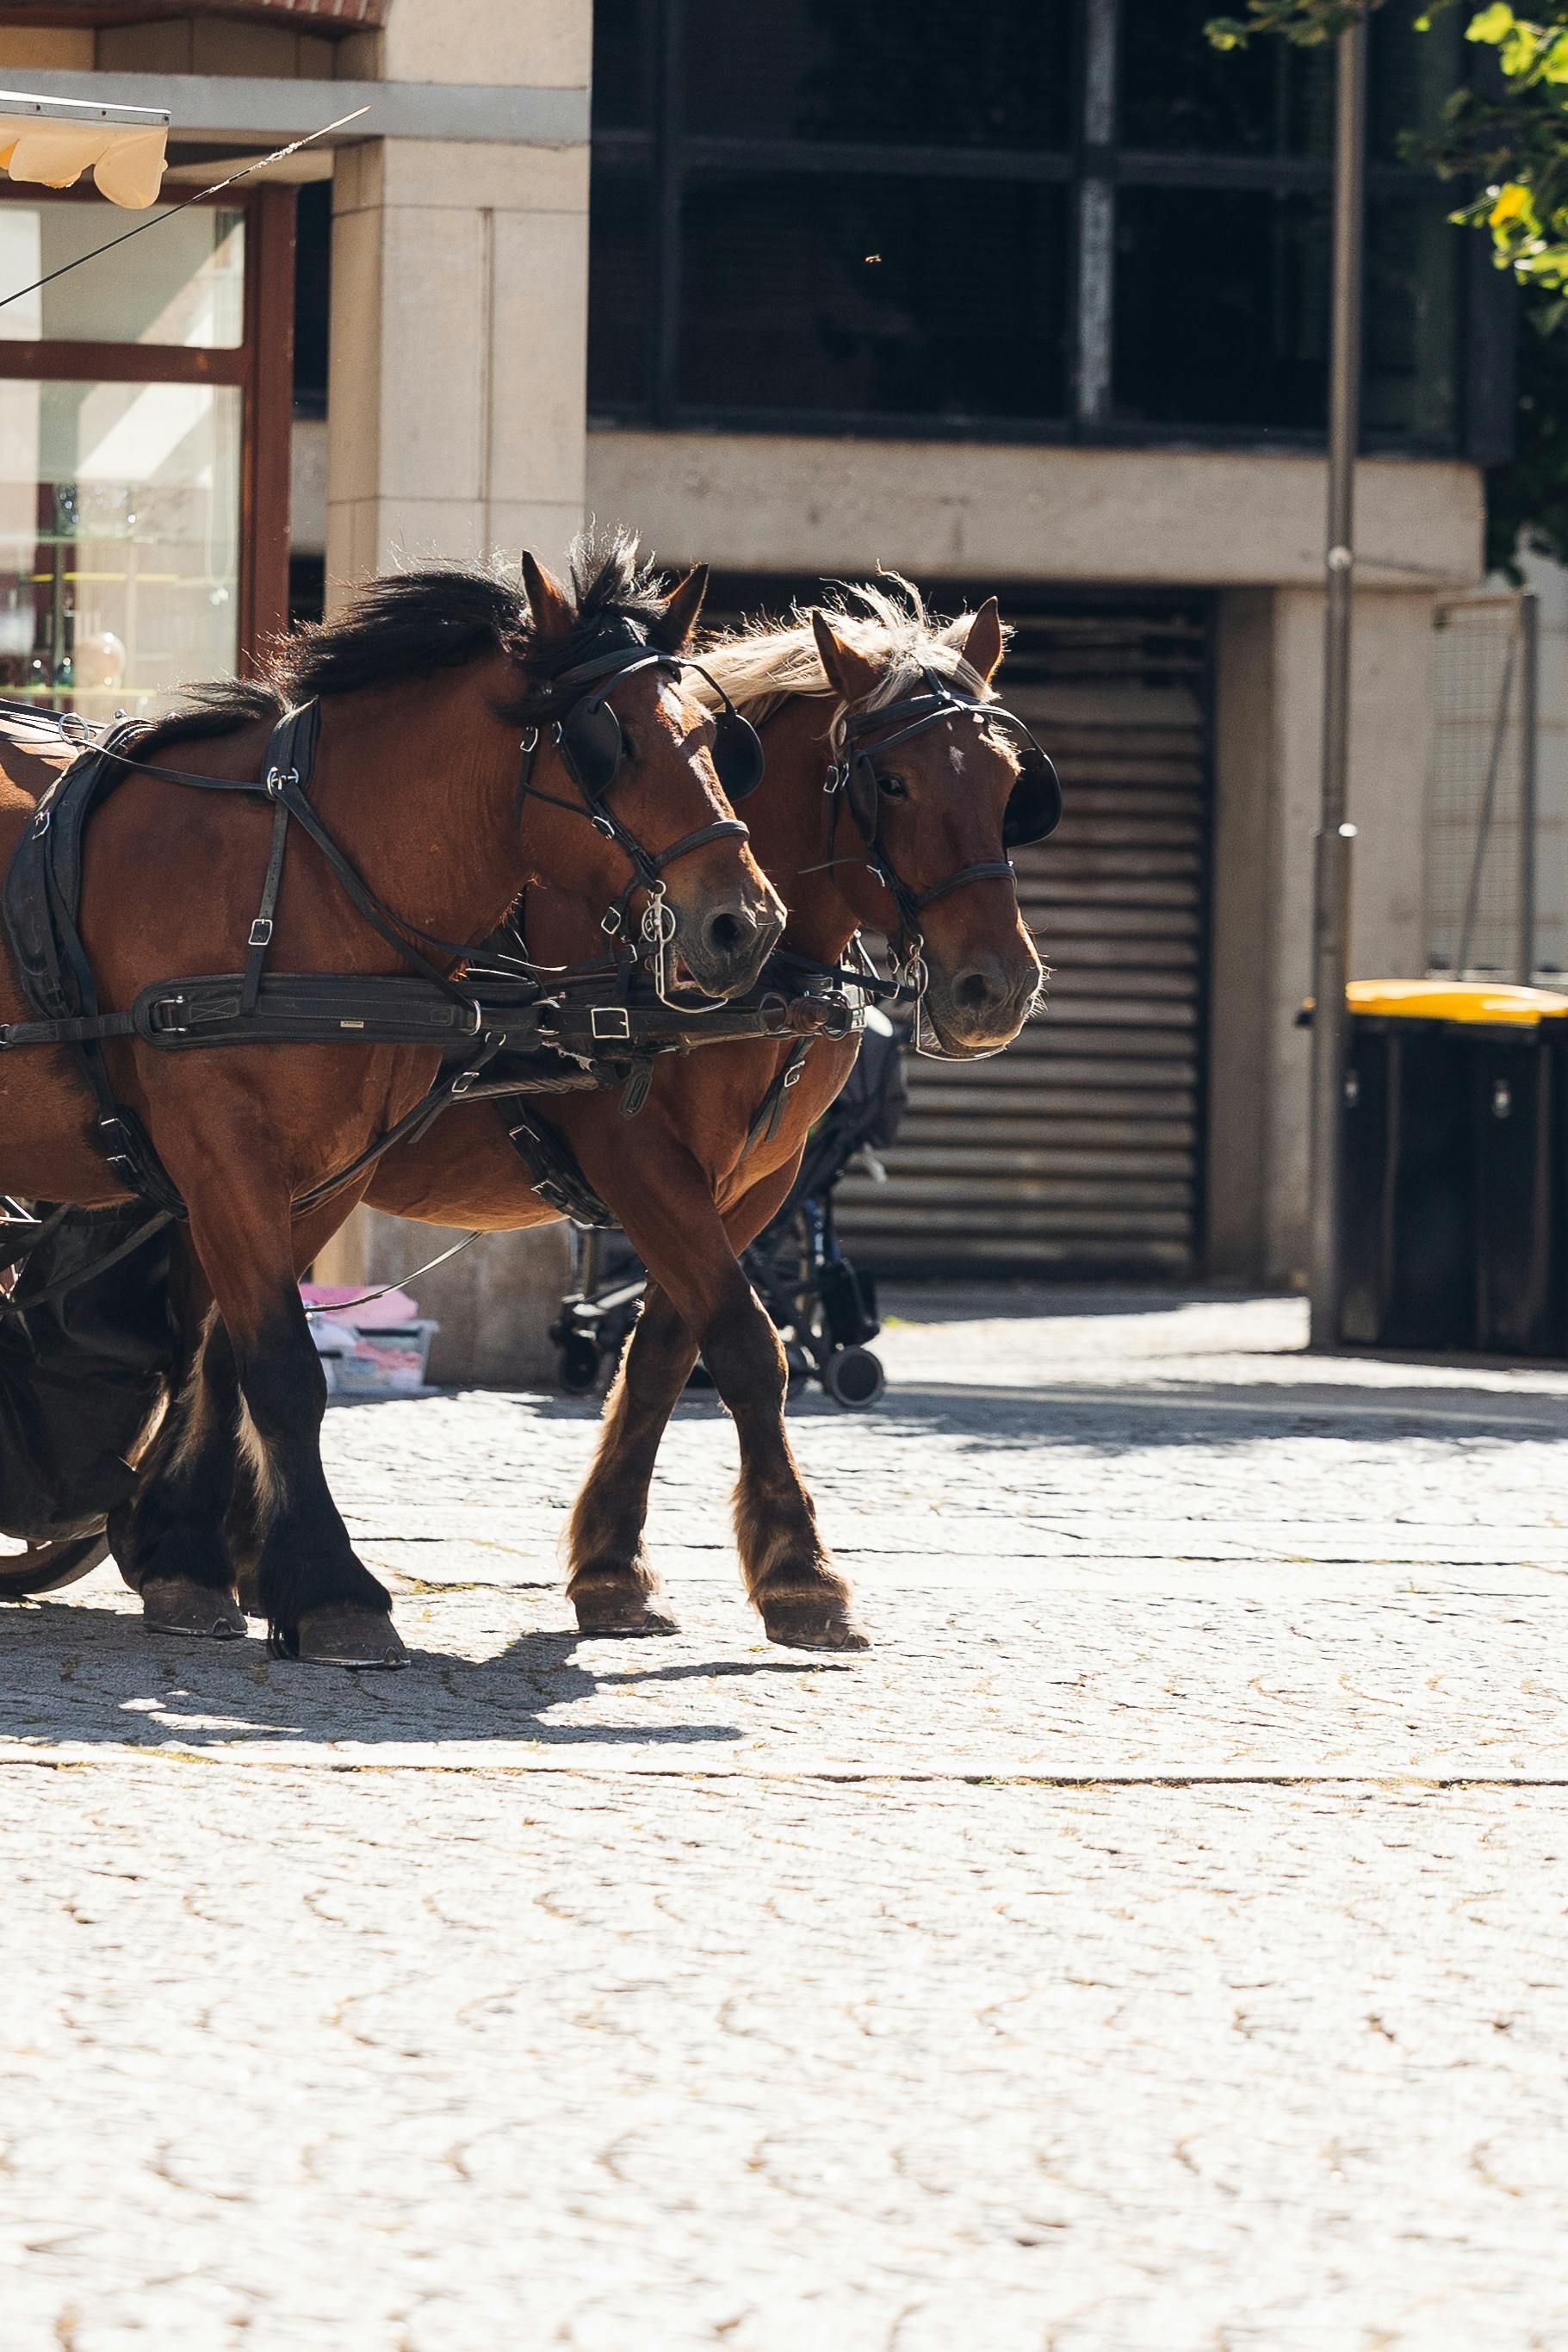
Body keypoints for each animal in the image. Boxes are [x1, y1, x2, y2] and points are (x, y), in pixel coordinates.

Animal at [0, 534, 783, 1666]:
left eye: (718, 738)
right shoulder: (221, 1147)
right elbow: (284, 1367)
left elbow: (234, 1353)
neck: (306, 880)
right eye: (610, 741)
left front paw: (221, 1568)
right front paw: (331, 1589)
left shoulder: (327, 1168)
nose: (745, 925)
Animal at [100, 577, 1048, 1655]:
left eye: (1010, 783)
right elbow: (746, 1344)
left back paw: (220, 1553)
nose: (995, 986)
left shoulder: (751, 1185)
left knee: (218, 1334)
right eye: (891, 785)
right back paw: (204, 1553)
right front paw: (800, 1571)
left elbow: (668, 1354)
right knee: (215, 1332)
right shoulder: (639, 1158)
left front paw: (612, 1566)